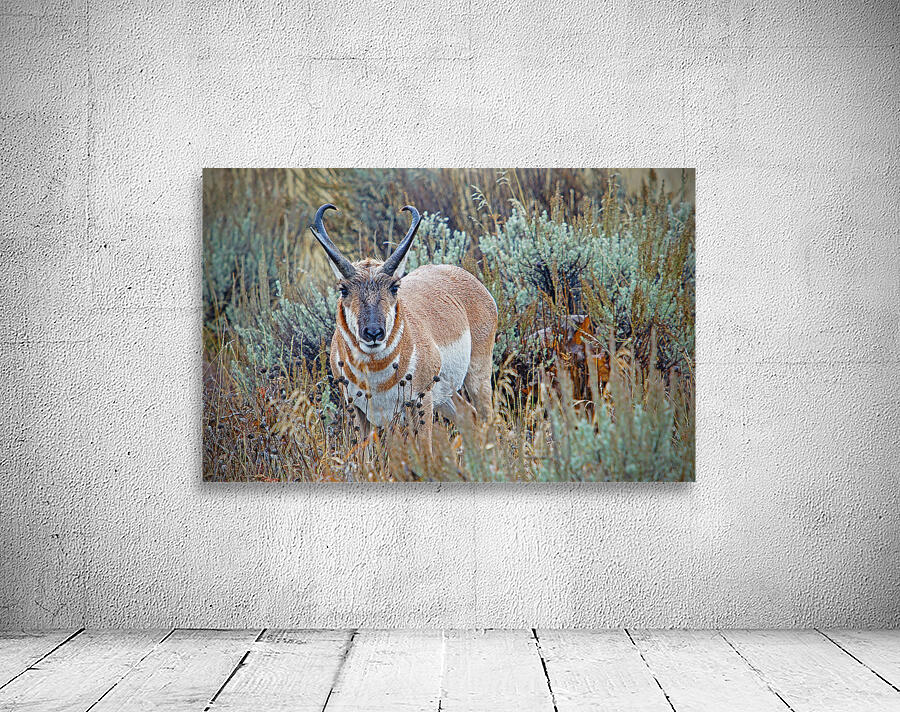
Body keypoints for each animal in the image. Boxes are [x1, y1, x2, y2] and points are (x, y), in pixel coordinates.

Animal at [309, 203, 497, 454]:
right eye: (344, 289)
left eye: (394, 287)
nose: (373, 333)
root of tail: (462, 274)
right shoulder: (357, 411)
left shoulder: (421, 402)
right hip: (446, 396)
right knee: (469, 416)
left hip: (476, 377)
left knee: (487, 418)